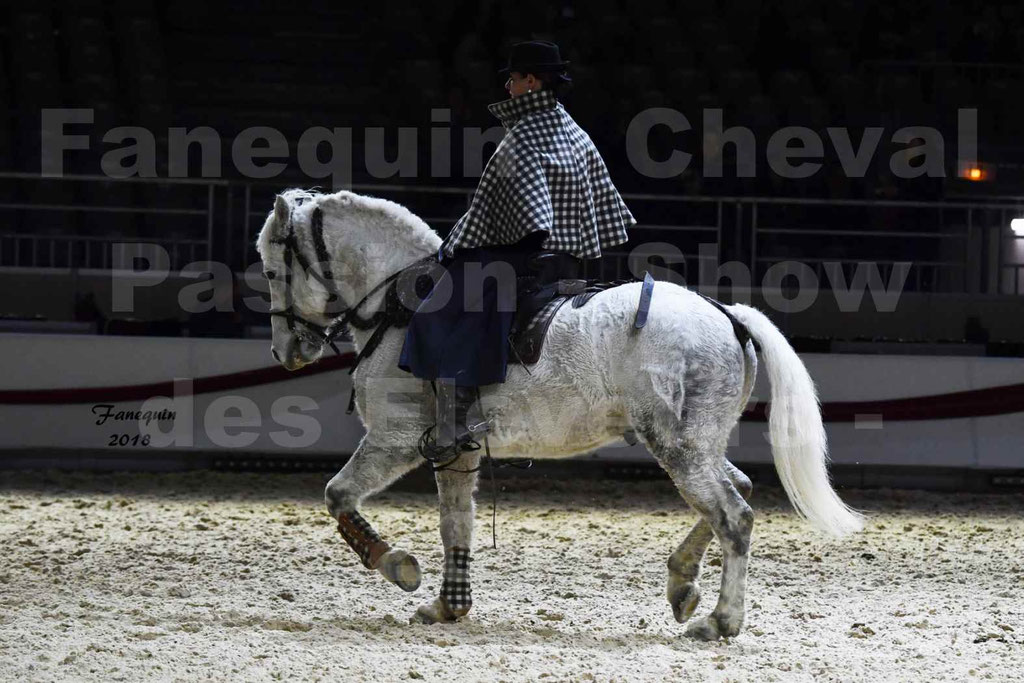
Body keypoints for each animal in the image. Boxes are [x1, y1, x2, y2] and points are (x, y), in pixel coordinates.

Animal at [256, 187, 864, 640]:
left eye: (270, 270)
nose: (286, 352)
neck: (401, 305)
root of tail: (727, 314)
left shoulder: (395, 438)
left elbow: (338, 495)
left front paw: (397, 564)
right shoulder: (456, 450)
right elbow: (456, 522)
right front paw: (449, 606)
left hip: (681, 450)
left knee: (733, 515)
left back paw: (720, 620)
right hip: (699, 446)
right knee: (736, 491)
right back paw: (682, 584)